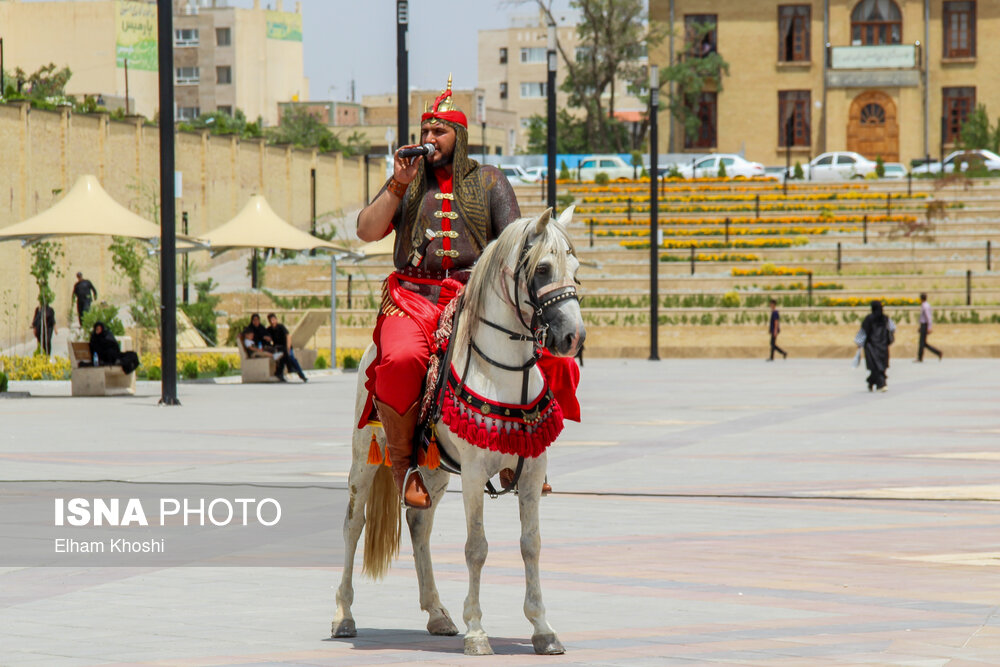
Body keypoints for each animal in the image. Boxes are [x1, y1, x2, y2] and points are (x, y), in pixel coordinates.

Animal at [332, 206, 585, 656]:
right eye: (542, 269)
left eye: (577, 270)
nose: (573, 337)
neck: (503, 374)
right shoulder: (472, 471)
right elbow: (476, 548)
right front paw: (477, 631)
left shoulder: (532, 472)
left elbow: (531, 544)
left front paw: (542, 628)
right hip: (366, 455)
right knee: (353, 523)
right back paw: (344, 614)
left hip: (432, 469)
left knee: (419, 523)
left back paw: (437, 613)